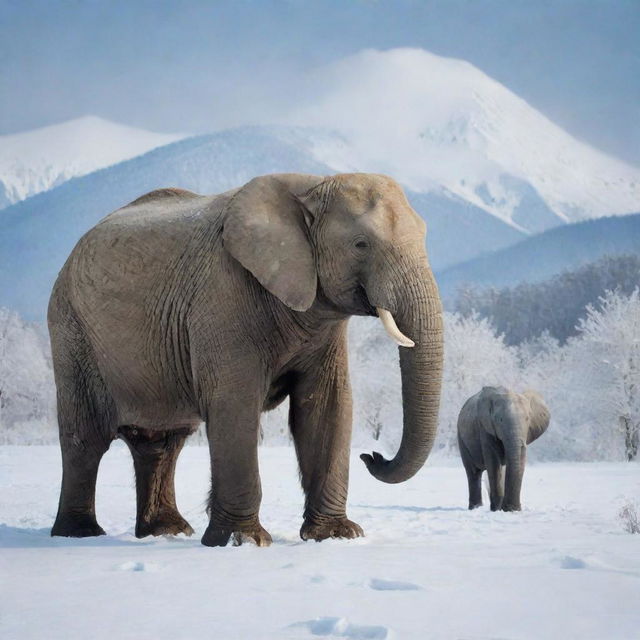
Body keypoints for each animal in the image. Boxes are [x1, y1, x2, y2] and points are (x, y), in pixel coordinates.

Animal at [50, 172, 442, 548]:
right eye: (361, 244)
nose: (372, 456)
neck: (313, 187)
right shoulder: (223, 296)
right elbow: (235, 404)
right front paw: (243, 541)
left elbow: (326, 406)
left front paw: (338, 536)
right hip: (71, 330)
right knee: (85, 439)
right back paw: (79, 534)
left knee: (163, 442)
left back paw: (167, 531)